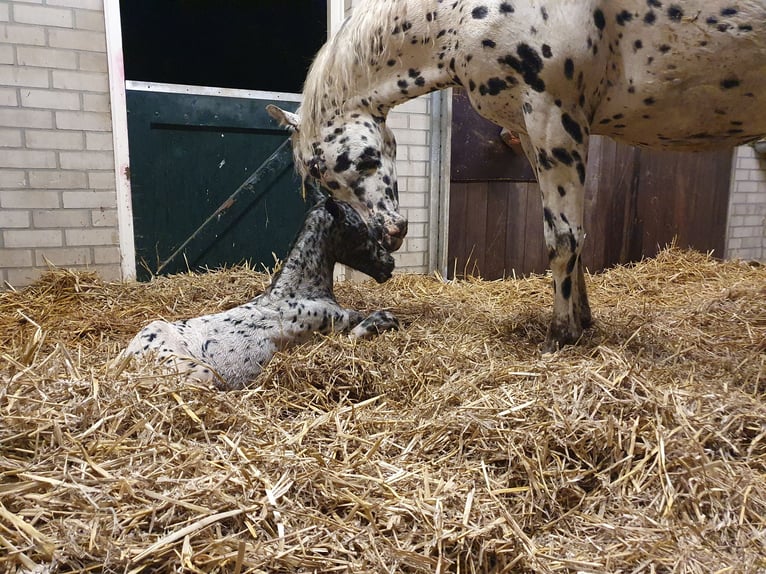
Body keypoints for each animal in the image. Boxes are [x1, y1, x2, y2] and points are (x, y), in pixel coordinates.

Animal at [123, 197, 399, 390]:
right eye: (360, 230)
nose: (388, 264)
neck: (298, 294)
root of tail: (126, 360)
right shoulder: (325, 336)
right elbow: (358, 331)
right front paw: (386, 320)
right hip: (200, 373)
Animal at [267, 0, 766, 352]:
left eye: (346, 163)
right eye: (322, 180)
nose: (390, 234)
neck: (460, 15)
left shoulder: (553, 115)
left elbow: (563, 237)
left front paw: (561, 336)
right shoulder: (531, 129)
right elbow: (571, 234)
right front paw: (583, 322)